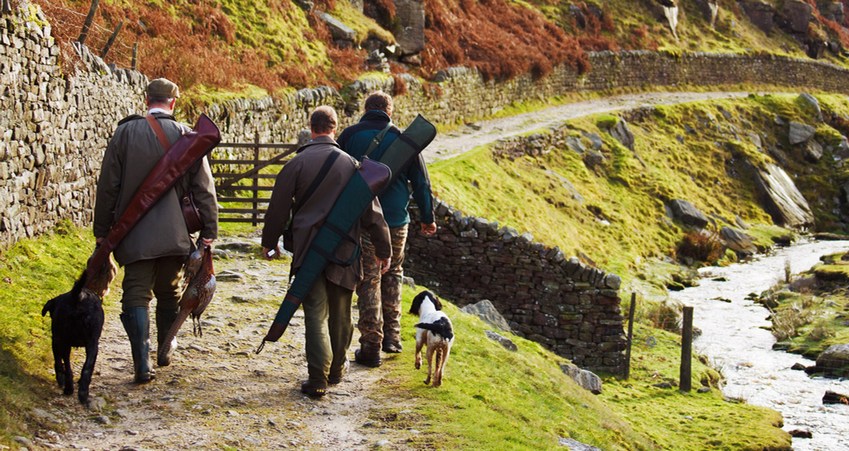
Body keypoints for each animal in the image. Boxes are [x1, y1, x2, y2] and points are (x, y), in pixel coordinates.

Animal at [41, 272, 105, 406]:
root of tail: (78, 296)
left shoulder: (56, 340)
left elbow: (58, 362)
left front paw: (60, 378)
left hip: (63, 340)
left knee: (68, 367)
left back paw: (68, 388)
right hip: (92, 345)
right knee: (86, 369)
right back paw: (82, 393)